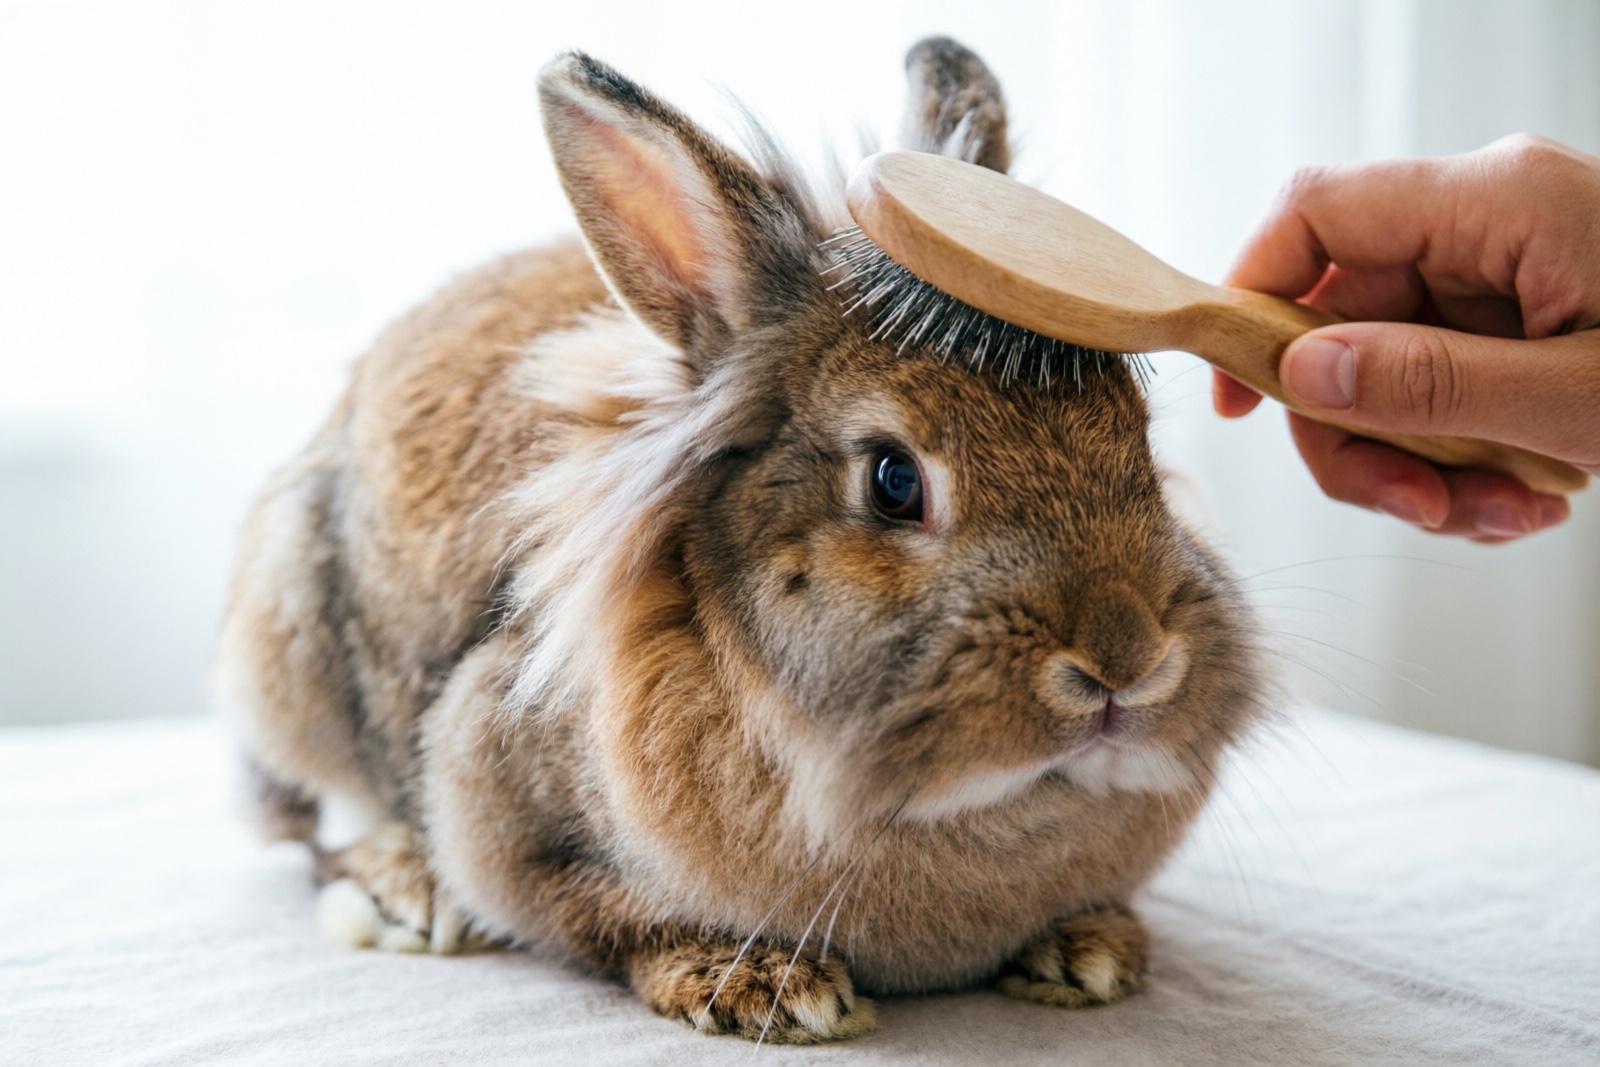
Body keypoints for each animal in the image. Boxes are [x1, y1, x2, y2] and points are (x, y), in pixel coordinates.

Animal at [214, 36, 1265, 1043]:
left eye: (1139, 439)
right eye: (894, 481)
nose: (1126, 663)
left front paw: (1094, 951)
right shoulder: (502, 811)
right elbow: (600, 914)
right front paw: (765, 987)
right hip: (288, 647)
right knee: (317, 819)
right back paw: (410, 892)